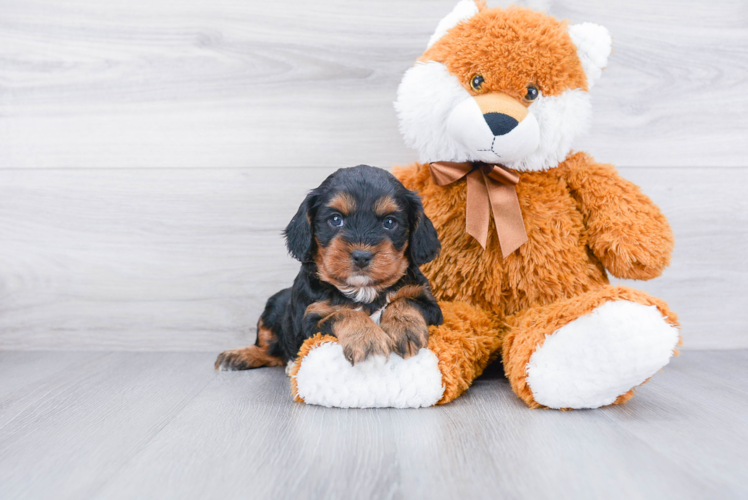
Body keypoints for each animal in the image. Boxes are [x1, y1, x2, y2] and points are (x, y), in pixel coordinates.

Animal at [215, 165, 444, 372]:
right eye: (335, 219)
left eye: (389, 222)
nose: (361, 256)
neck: (362, 291)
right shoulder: (309, 324)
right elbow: (344, 313)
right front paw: (368, 342)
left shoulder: (432, 306)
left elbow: (405, 301)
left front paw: (405, 328)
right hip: (273, 306)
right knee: (271, 351)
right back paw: (239, 356)